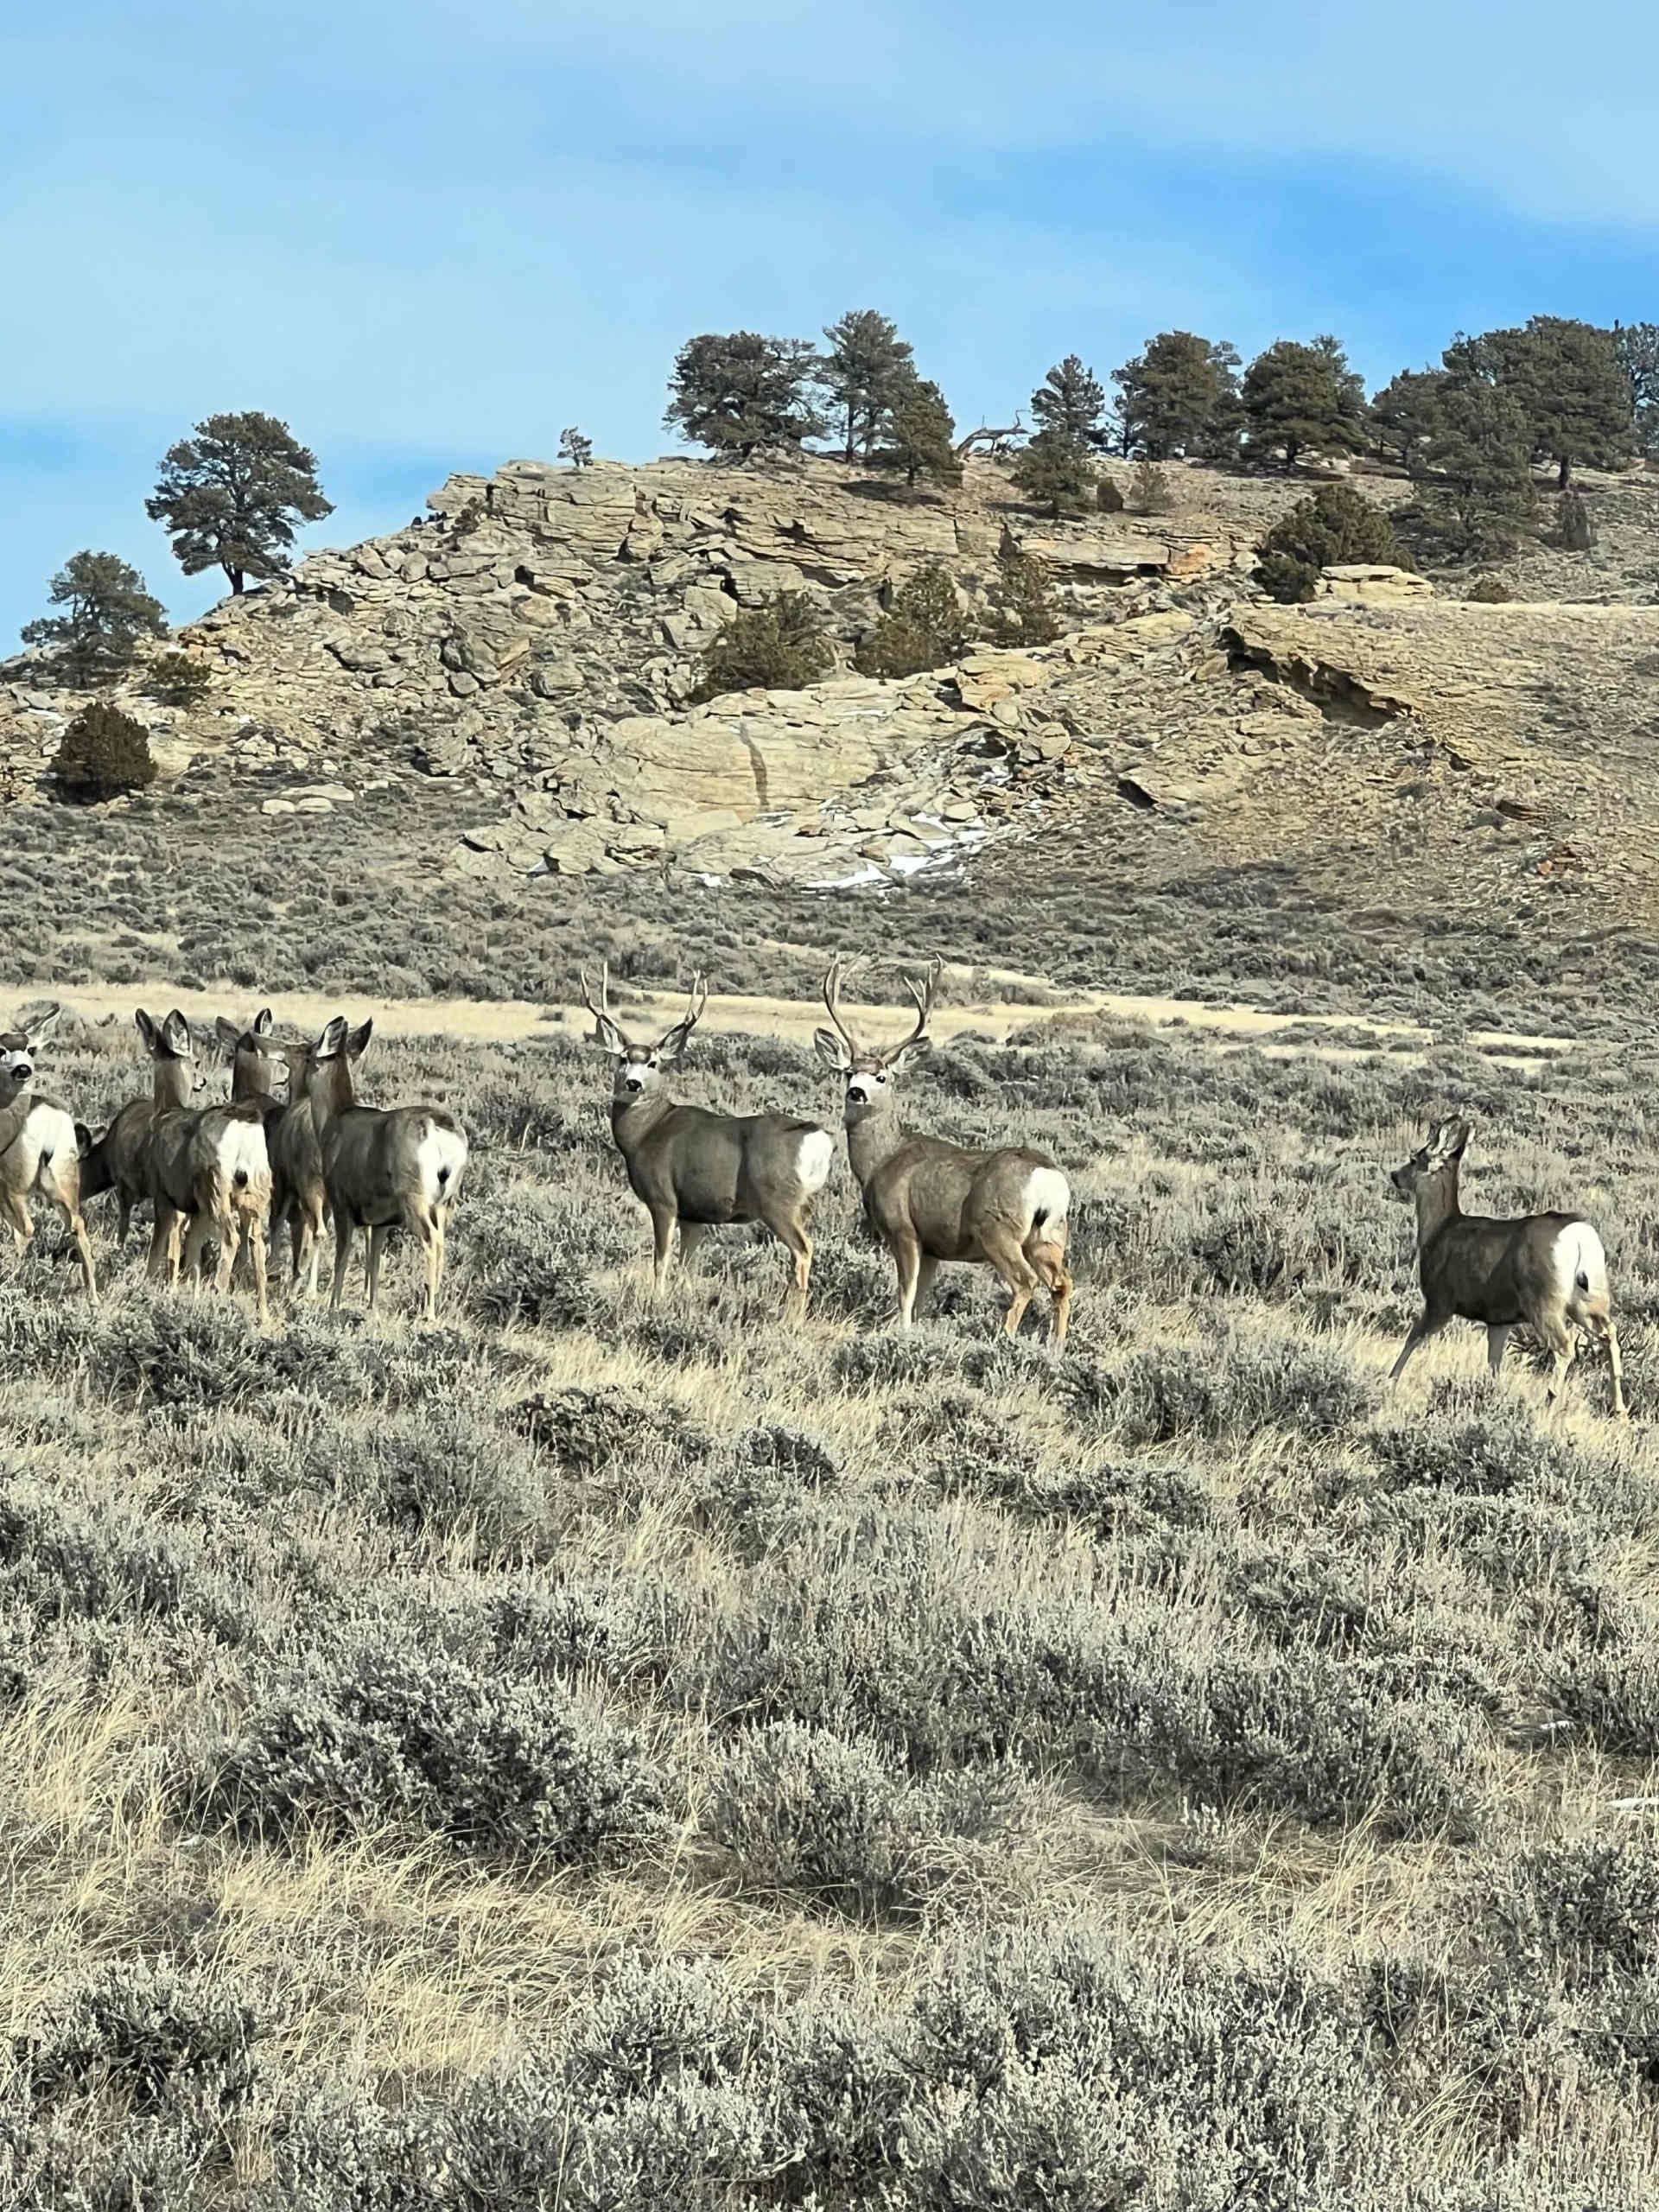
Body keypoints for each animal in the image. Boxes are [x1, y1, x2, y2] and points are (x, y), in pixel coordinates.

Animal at [0, 1005, 97, 1302]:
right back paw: (93, 1296)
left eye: (31, 1048)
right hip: (62, 1183)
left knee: (26, 1229)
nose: (23, 1069)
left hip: (13, 1188)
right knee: (77, 1225)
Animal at [302, 1015, 467, 1319]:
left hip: (415, 1200)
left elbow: (342, 1256)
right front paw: (371, 1307)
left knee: (431, 1240)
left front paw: (333, 1304)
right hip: (446, 1202)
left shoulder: (342, 1206)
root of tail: (441, 1128)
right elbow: (374, 1262)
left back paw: (428, 1313)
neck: (334, 1120)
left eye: (308, 1054)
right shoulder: (380, 1222)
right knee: (442, 1241)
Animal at [580, 965, 835, 1322]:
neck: (646, 1133)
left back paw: (792, 1320)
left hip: (779, 1202)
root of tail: (818, 1138)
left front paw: (655, 1303)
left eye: (653, 1063)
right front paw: (683, 1306)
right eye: (622, 1059)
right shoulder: (694, 1214)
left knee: (803, 1250)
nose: (633, 1084)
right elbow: (687, 1268)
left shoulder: (664, 1199)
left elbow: (661, 1260)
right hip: (804, 1205)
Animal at [815, 957, 1073, 1346]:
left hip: (997, 1229)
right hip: (1050, 1235)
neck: (882, 1160)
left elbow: (905, 1296)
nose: (857, 1092)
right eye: (848, 1072)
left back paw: (1006, 1340)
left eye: (882, 1077)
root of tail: (1048, 1178)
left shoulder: (905, 1230)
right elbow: (920, 1299)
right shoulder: (934, 1247)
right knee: (1062, 1284)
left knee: (1025, 1282)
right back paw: (1054, 1348)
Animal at [1388, 1116, 1627, 1417]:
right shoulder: (1498, 1320)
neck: (1438, 1230)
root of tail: (1579, 1236)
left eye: (1413, 1158)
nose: (1394, 1175)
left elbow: (1412, 1340)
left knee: (1564, 1347)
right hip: (1590, 1296)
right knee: (1610, 1334)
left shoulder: (1440, 1301)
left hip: (1543, 1299)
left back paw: (1549, 1401)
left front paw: (1389, 1382)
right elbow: (1494, 1365)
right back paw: (1619, 1407)